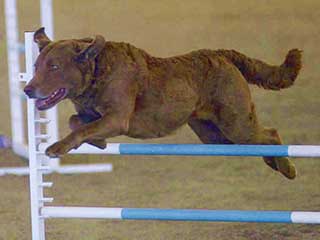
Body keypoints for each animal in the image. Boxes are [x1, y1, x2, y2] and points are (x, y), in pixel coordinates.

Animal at [25, 27, 302, 178]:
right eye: (36, 66)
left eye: (54, 67)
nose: (27, 90)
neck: (96, 71)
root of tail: (223, 54)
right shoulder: (93, 114)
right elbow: (76, 121)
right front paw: (99, 142)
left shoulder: (117, 118)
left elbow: (82, 128)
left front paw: (58, 147)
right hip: (215, 136)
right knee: (258, 141)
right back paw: (273, 163)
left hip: (236, 124)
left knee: (270, 134)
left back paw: (287, 168)